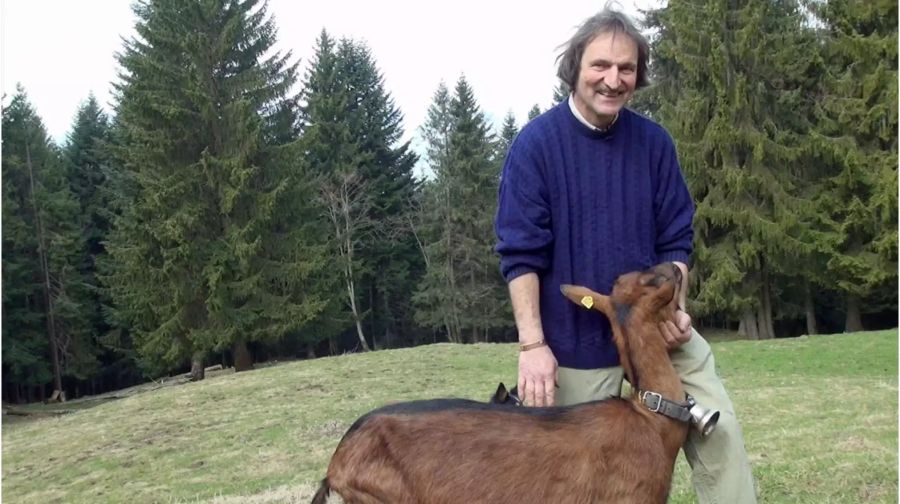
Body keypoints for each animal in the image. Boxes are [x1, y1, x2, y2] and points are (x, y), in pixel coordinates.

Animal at [312, 264, 688, 504]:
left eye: (625, 277)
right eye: (651, 277)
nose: (675, 265)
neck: (651, 417)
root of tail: (334, 467)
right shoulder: (629, 497)